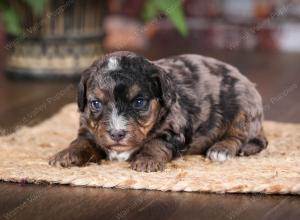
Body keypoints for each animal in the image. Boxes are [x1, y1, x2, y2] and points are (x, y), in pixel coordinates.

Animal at [49, 51, 268, 172]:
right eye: (96, 103)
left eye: (139, 102)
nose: (117, 134)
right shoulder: (90, 129)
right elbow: (81, 141)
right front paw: (65, 154)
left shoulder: (173, 130)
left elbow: (155, 143)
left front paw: (147, 161)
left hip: (243, 108)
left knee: (239, 137)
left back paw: (221, 149)